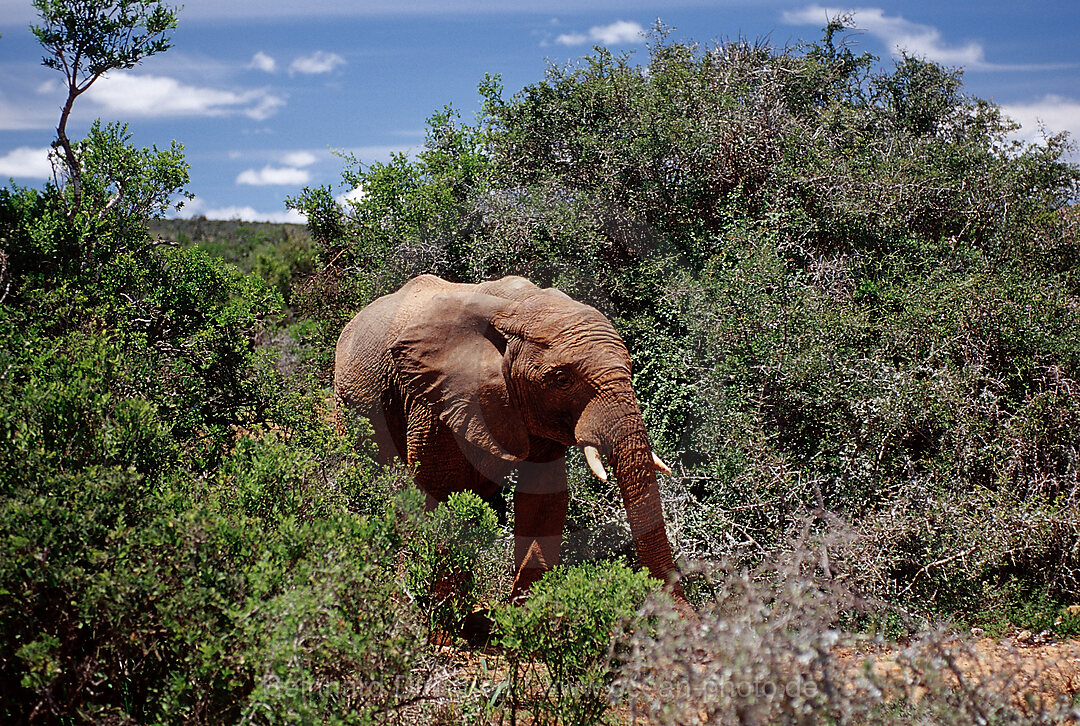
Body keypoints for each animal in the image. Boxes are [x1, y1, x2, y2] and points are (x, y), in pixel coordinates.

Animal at [332, 275, 686, 605]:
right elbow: (437, 495)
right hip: (345, 399)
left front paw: (521, 615)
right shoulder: (432, 400)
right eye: (562, 379)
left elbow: (542, 499)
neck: (519, 307)